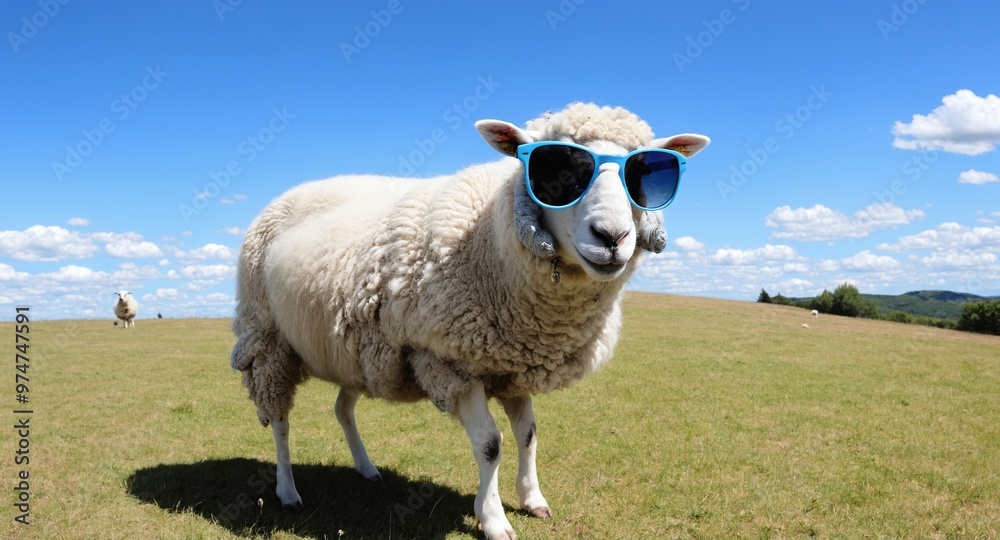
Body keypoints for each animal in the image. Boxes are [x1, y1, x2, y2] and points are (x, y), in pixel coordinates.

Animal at [229, 102, 710, 539]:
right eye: (557, 170)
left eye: (644, 175)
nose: (612, 238)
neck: (488, 244)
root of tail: (284, 196)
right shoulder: (448, 361)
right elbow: (490, 444)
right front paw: (494, 519)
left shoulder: (512, 363)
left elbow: (528, 434)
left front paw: (533, 499)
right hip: (268, 340)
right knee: (279, 421)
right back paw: (288, 491)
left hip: (357, 351)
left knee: (342, 409)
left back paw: (366, 470)